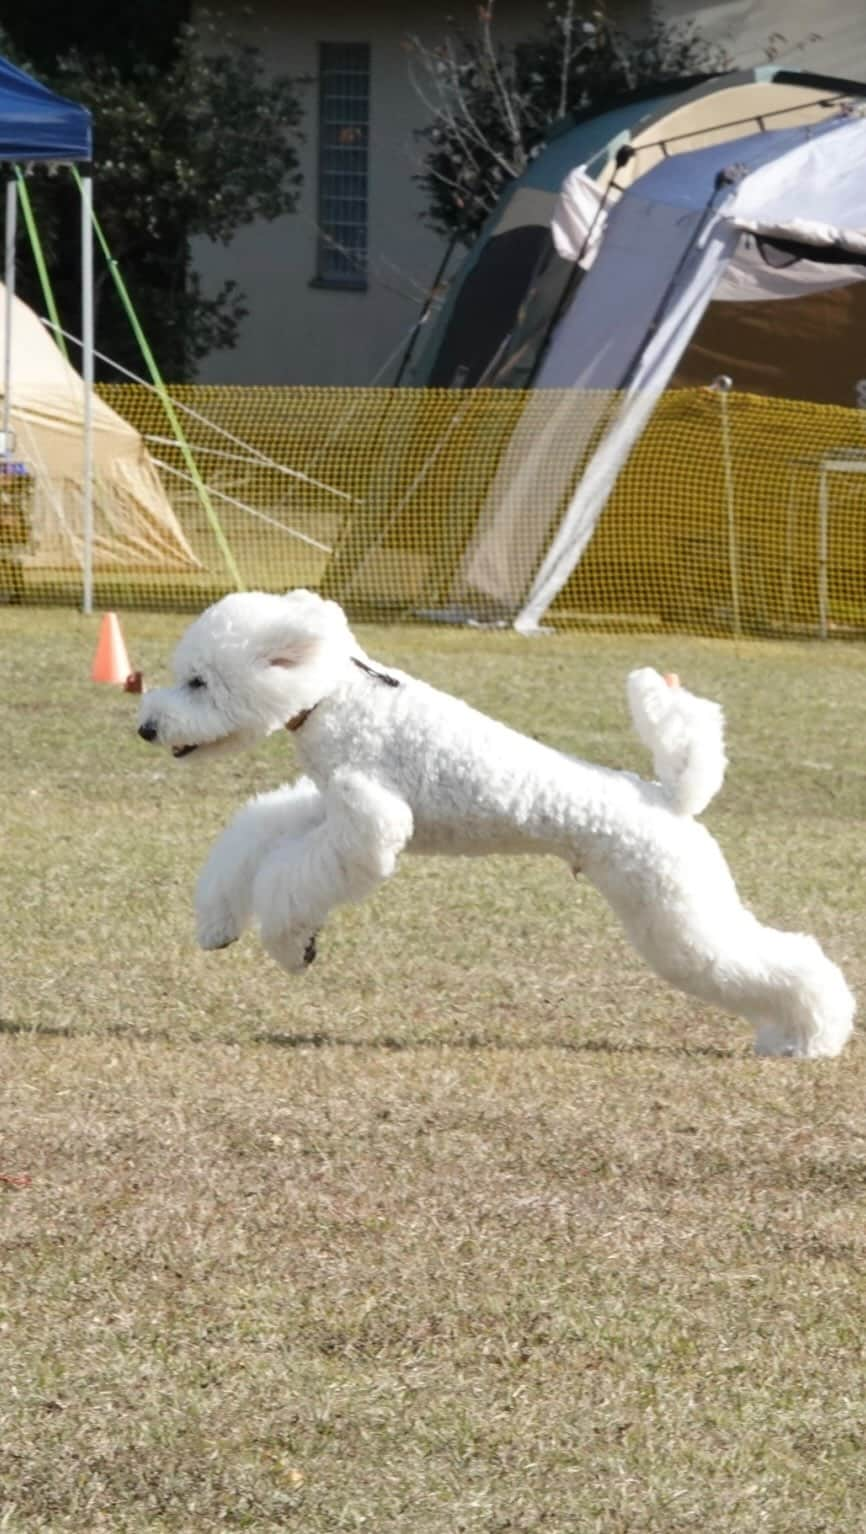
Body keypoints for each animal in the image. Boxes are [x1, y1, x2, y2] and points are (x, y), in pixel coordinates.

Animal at [138, 582, 852, 1055]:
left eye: (200, 682)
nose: (147, 728)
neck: (334, 696)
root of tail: (670, 797)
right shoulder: (325, 806)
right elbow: (258, 832)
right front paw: (221, 925)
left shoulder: (370, 822)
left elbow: (292, 878)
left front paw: (293, 945)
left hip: (674, 908)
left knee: (783, 960)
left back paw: (808, 1037)